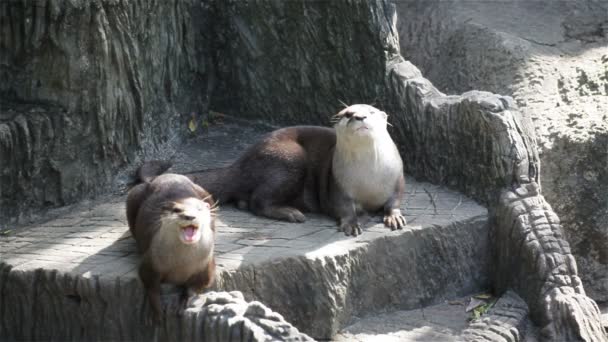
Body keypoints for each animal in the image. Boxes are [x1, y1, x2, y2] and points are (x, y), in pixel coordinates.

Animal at [125, 162, 216, 322]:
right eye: (177, 210)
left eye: (199, 209)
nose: (189, 216)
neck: (181, 265)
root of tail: (167, 175)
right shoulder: (150, 263)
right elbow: (151, 286)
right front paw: (158, 311)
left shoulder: (206, 269)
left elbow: (194, 287)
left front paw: (183, 302)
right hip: (133, 195)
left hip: (206, 193)